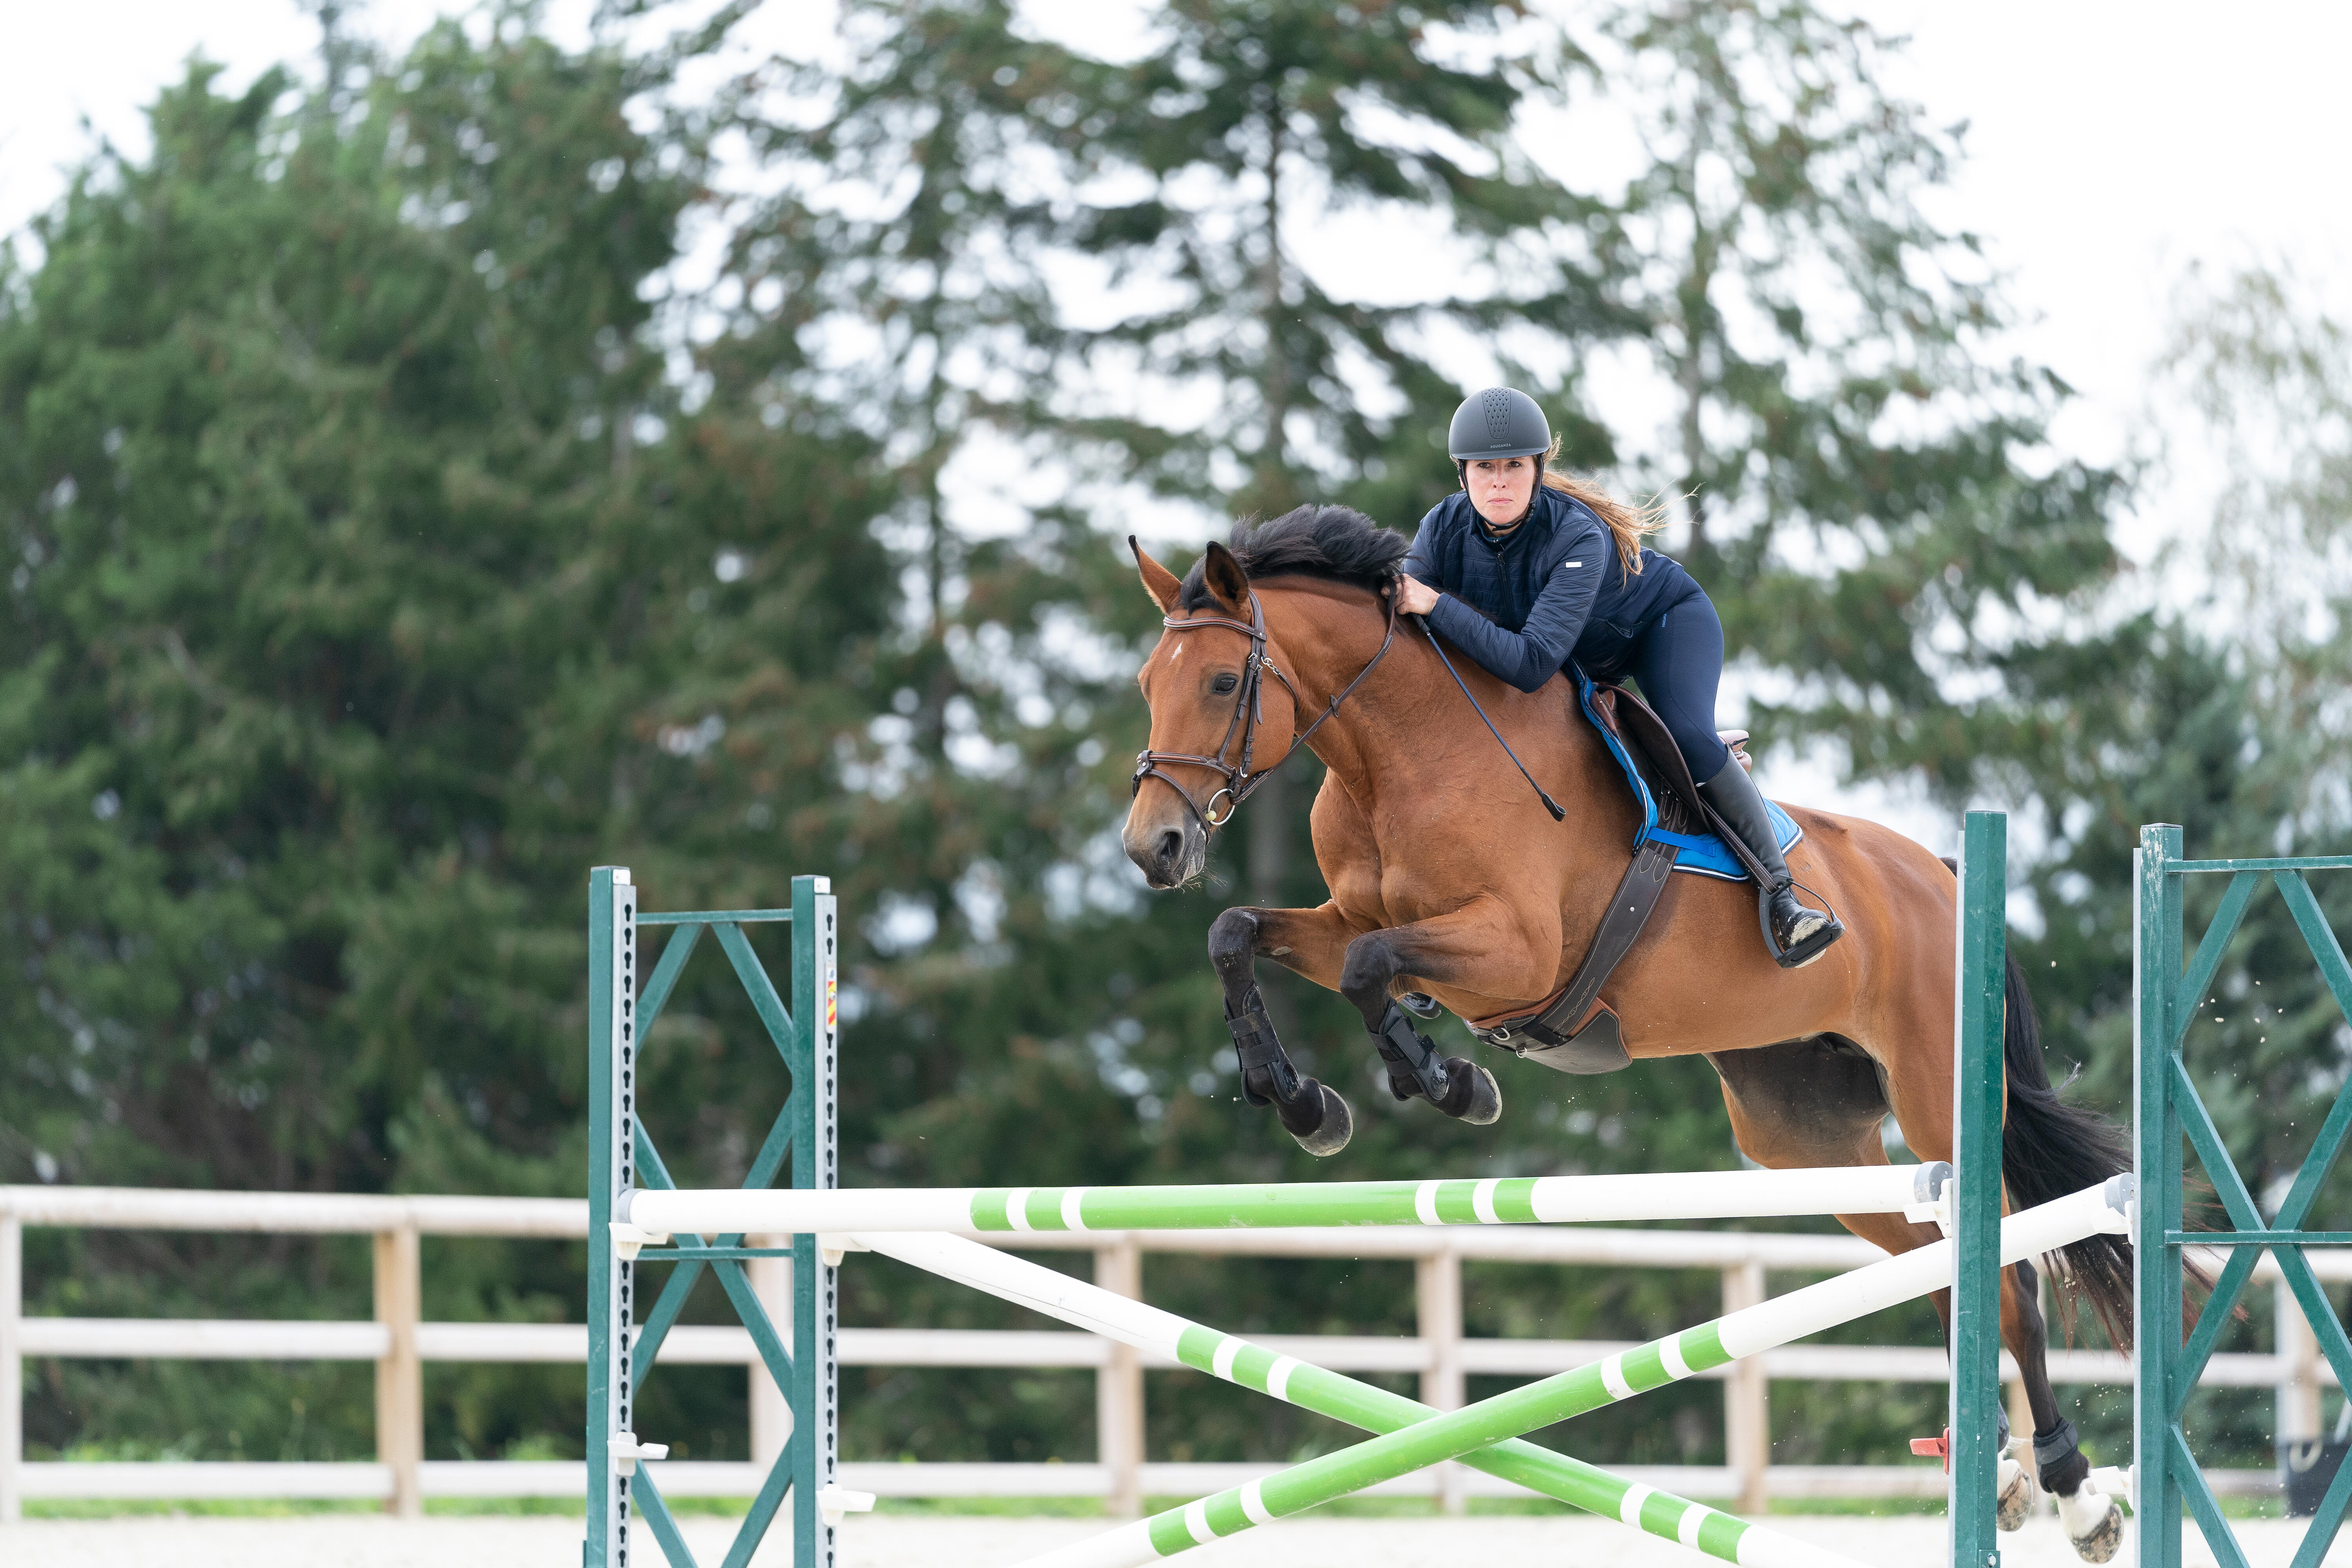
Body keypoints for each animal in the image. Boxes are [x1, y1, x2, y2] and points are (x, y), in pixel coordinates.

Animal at [1129, 505, 2145, 1561]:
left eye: (1220, 681)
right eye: (1147, 686)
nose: (1154, 847)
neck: (1398, 758)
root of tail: (1943, 873)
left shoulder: (1517, 952)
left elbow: (1375, 967)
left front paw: (1449, 1084)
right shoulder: (1341, 925)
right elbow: (1240, 934)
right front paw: (1306, 1104)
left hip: (1937, 1093)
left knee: (2011, 1282)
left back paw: (2077, 1494)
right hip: (1802, 1136)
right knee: (1936, 1266)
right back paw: (1999, 1476)